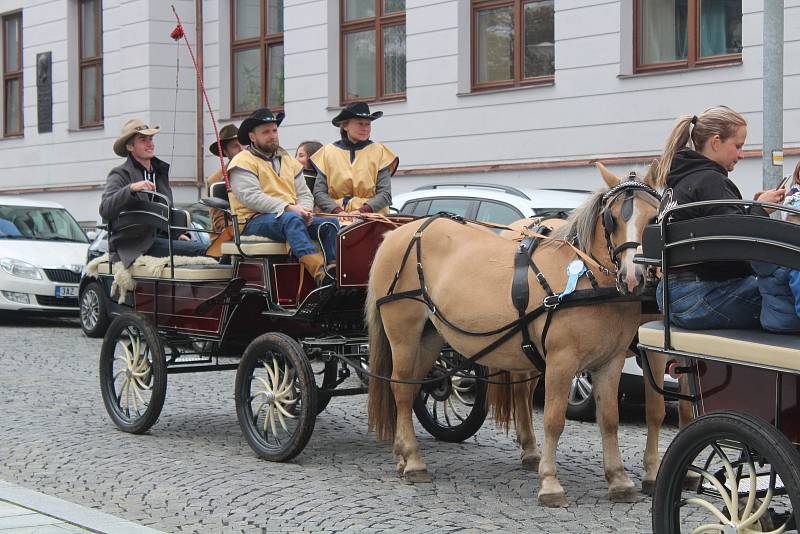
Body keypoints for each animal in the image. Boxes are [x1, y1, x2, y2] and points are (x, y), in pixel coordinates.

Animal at [366, 165, 660, 508]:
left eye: (654, 218)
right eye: (612, 218)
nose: (634, 276)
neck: (586, 279)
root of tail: (397, 234)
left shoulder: (610, 362)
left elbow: (610, 419)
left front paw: (619, 480)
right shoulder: (561, 361)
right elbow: (554, 420)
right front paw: (550, 483)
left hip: (430, 336)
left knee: (412, 389)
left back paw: (403, 456)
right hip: (403, 331)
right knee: (400, 389)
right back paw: (413, 461)